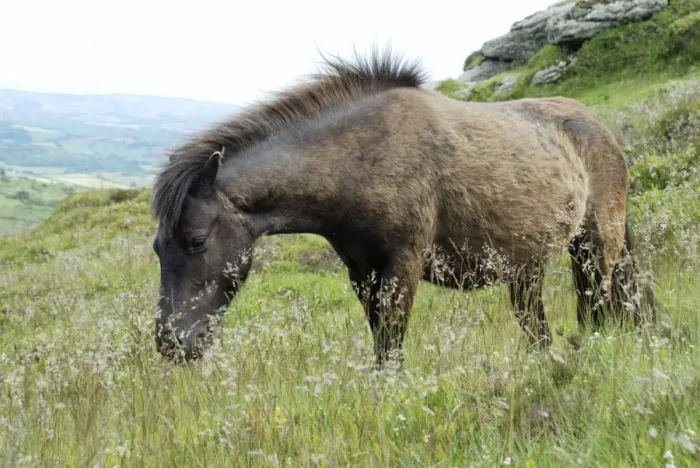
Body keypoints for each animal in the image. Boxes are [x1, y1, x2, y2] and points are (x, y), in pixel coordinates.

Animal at [150, 47, 657, 366]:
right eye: (158, 248)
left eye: (196, 240)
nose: (171, 343)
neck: (362, 159)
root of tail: (601, 130)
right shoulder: (363, 274)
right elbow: (380, 344)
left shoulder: (403, 266)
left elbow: (390, 345)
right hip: (527, 270)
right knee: (540, 329)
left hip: (595, 250)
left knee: (597, 310)